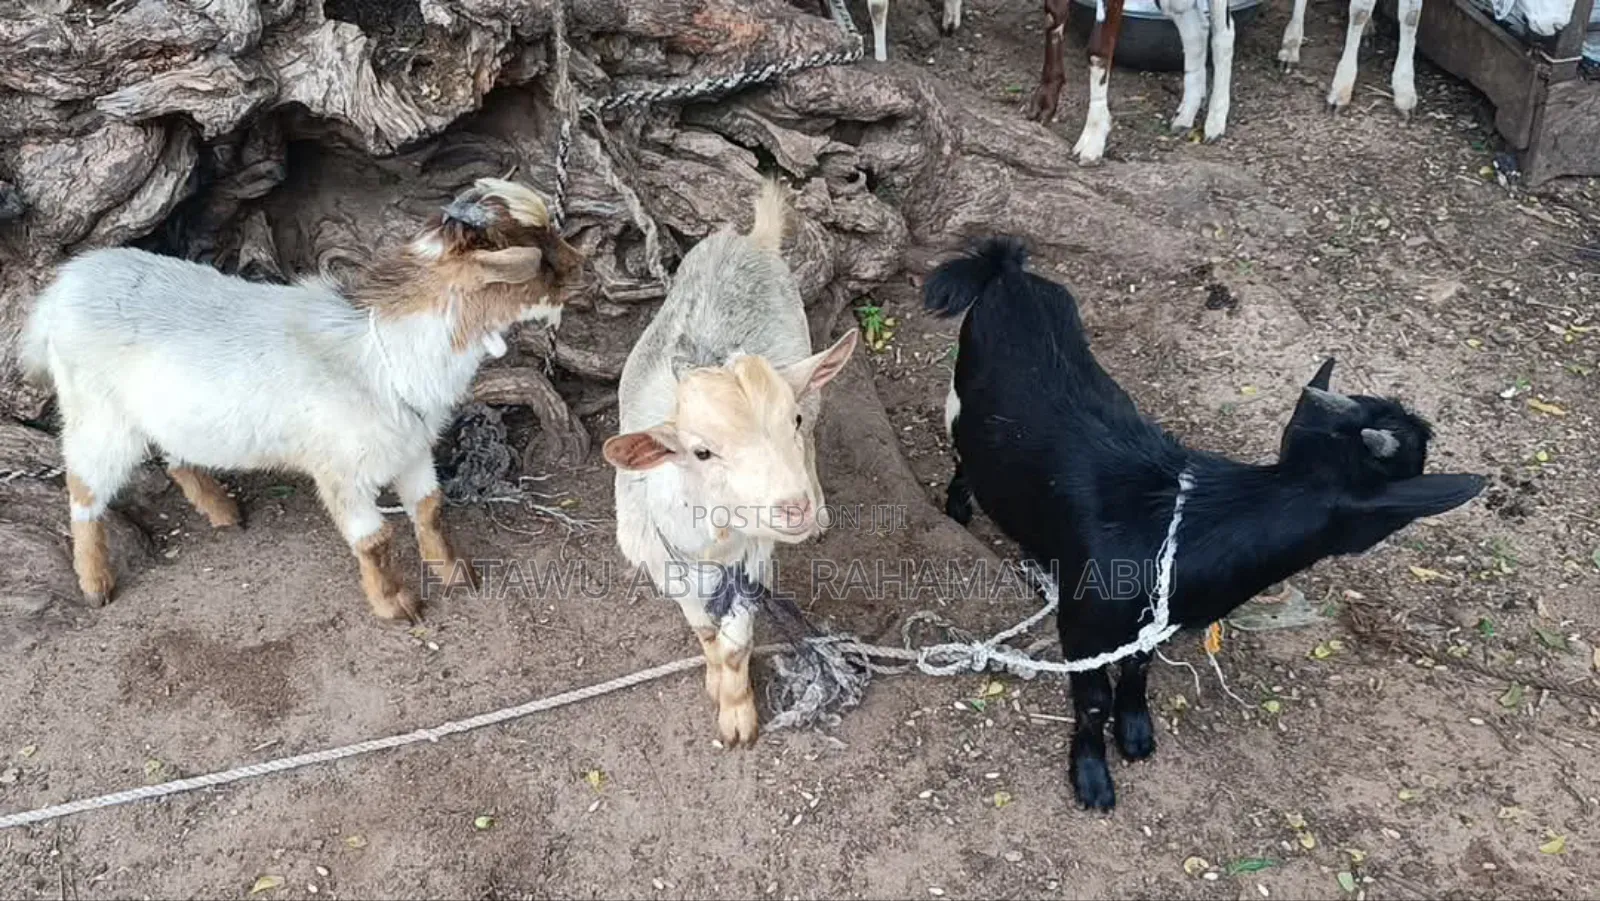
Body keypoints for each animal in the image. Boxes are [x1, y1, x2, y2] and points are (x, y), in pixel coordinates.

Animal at [21, 178, 584, 622]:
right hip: (96, 415)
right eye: (537, 252)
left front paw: (455, 572)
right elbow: (374, 541)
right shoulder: (341, 470)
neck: (383, 351)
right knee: (83, 491)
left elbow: (429, 509)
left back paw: (224, 512)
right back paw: (95, 585)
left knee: (177, 456)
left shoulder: (410, 448)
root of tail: (62, 290)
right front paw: (396, 606)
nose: (582, 268)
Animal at [603, 179, 858, 746]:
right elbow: (704, 631)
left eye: (790, 421)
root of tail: (749, 240)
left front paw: (737, 713)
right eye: (702, 451)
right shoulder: (666, 566)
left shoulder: (754, 558)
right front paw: (716, 680)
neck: (711, 544)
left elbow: (738, 641)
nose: (793, 508)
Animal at [928, 237, 1484, 810]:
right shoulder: (1085, 627)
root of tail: (1009, 273)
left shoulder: (1153, 621)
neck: (1189, 526)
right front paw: (1091, 776)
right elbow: (1093, 698)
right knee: (964, 463)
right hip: (961, 410)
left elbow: (1139, 667)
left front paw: (1136, 731)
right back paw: (959, 512)